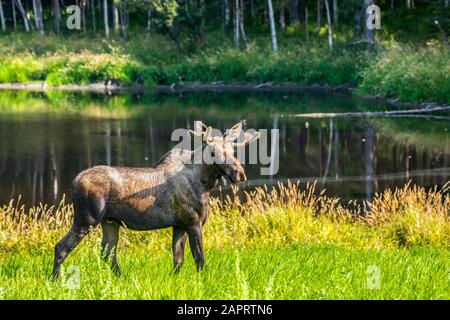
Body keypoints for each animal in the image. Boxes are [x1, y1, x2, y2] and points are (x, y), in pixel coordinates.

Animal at [51, 120, 260, 278]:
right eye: (213, 152)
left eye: (233, 151)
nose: (239, 174)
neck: (205, 184)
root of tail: (73, 182)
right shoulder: (193, 221)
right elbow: (199, 258)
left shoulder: (179, 224)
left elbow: (178, 259)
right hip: (86, 219)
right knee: (61, 247)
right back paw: (55, 280)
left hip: (110, 222)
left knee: (108, 253)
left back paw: (123, 278)